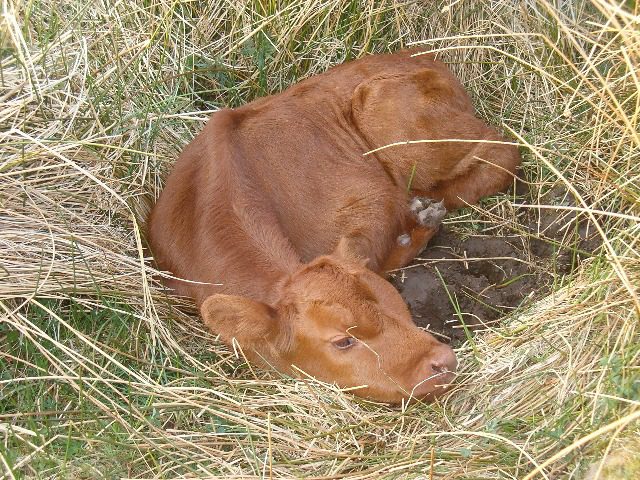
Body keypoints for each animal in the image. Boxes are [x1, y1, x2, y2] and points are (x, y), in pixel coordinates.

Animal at [148, 48, 524, 404]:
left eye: (396, 302)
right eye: (343, 341)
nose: (442, 362)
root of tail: (420, 55)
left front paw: (418, 223)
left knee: (503, 152)